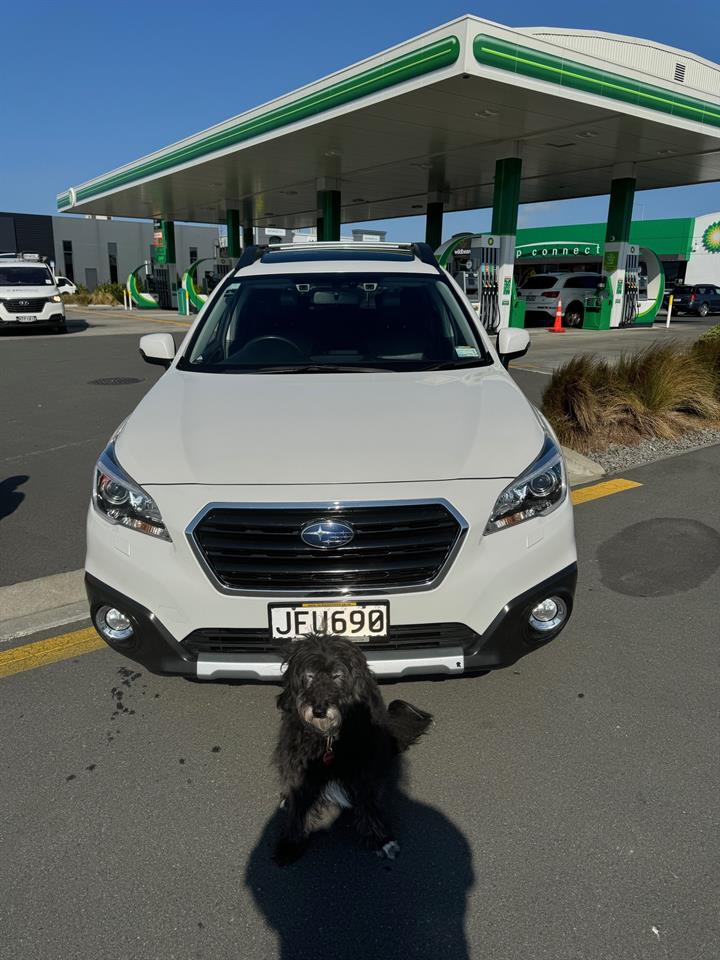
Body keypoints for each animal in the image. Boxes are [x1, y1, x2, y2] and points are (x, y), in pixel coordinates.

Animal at [272, 632, 434, 868]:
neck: (329, 738)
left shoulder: (363, 766)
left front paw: (381, 840)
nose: (319, 710)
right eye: (309, 676)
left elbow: (367, 802)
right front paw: (290, 844)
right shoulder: (297, 763)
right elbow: (298, 807)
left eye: (337, 676)